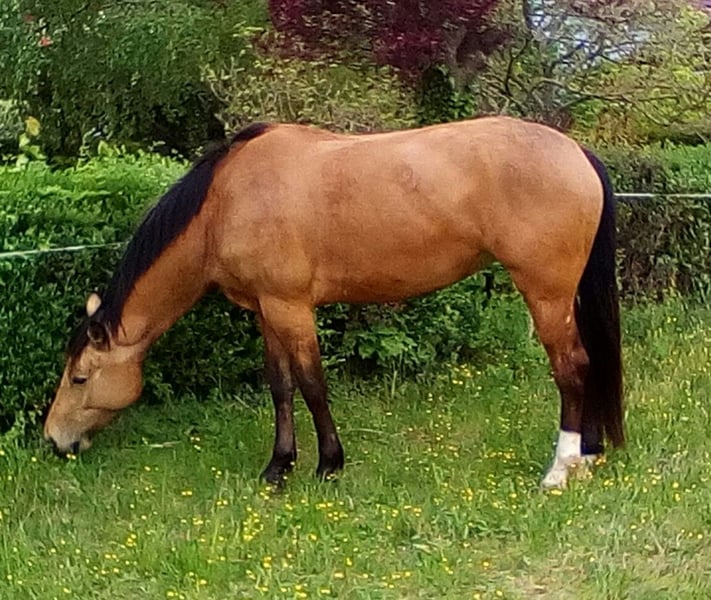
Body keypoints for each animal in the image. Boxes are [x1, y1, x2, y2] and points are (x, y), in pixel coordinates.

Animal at [44, 117, 623, 489]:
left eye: (79, 376)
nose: (53, 441)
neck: (225, 201)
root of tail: (577, 152)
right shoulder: (266, 311)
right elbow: (280, 387)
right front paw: (278, 468)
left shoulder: (291, 308)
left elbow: (312, 386)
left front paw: (328, 465)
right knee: (590, 364)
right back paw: (590, 454)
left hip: (545, 293)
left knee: (572, 368)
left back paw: (560, 469)